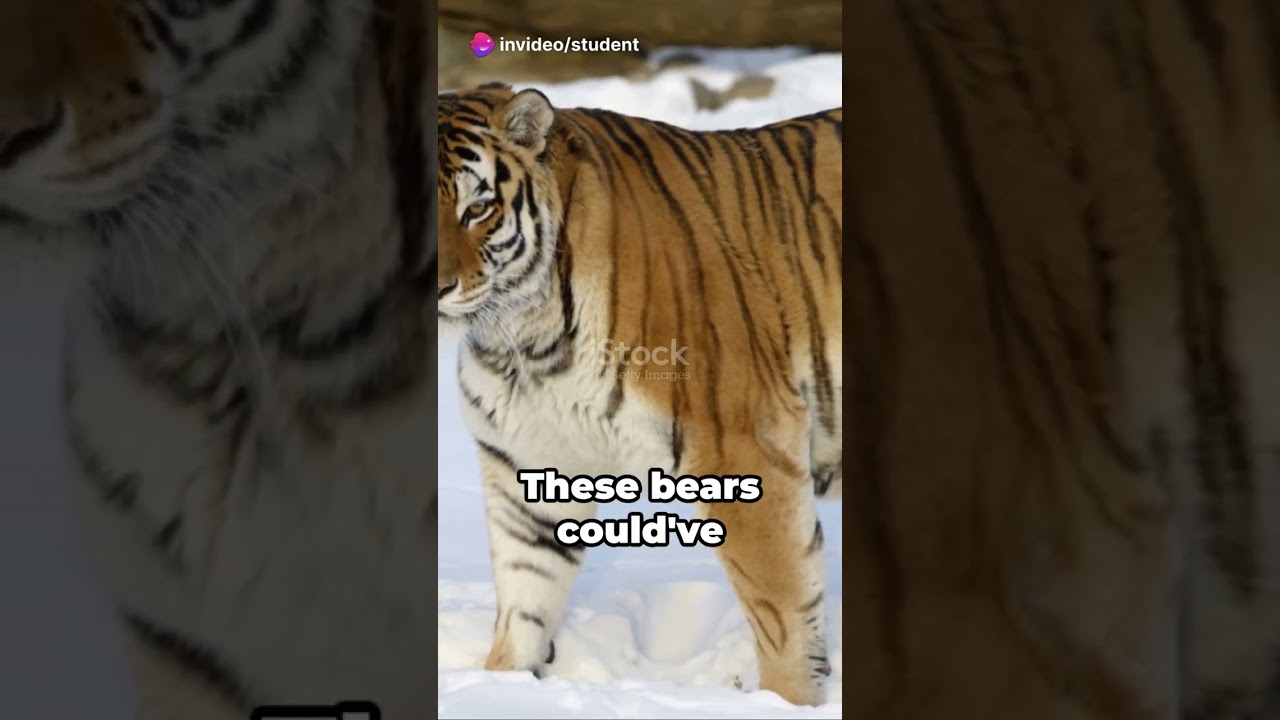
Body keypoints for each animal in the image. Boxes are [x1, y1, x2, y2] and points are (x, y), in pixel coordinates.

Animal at [437, 83, 843, 706]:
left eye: (477, 209)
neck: (523, 342)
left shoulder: (743, 445)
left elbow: (783, 614)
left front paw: (786, 705)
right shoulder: (526, 464)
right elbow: (524, 602)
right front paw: (499, 690)